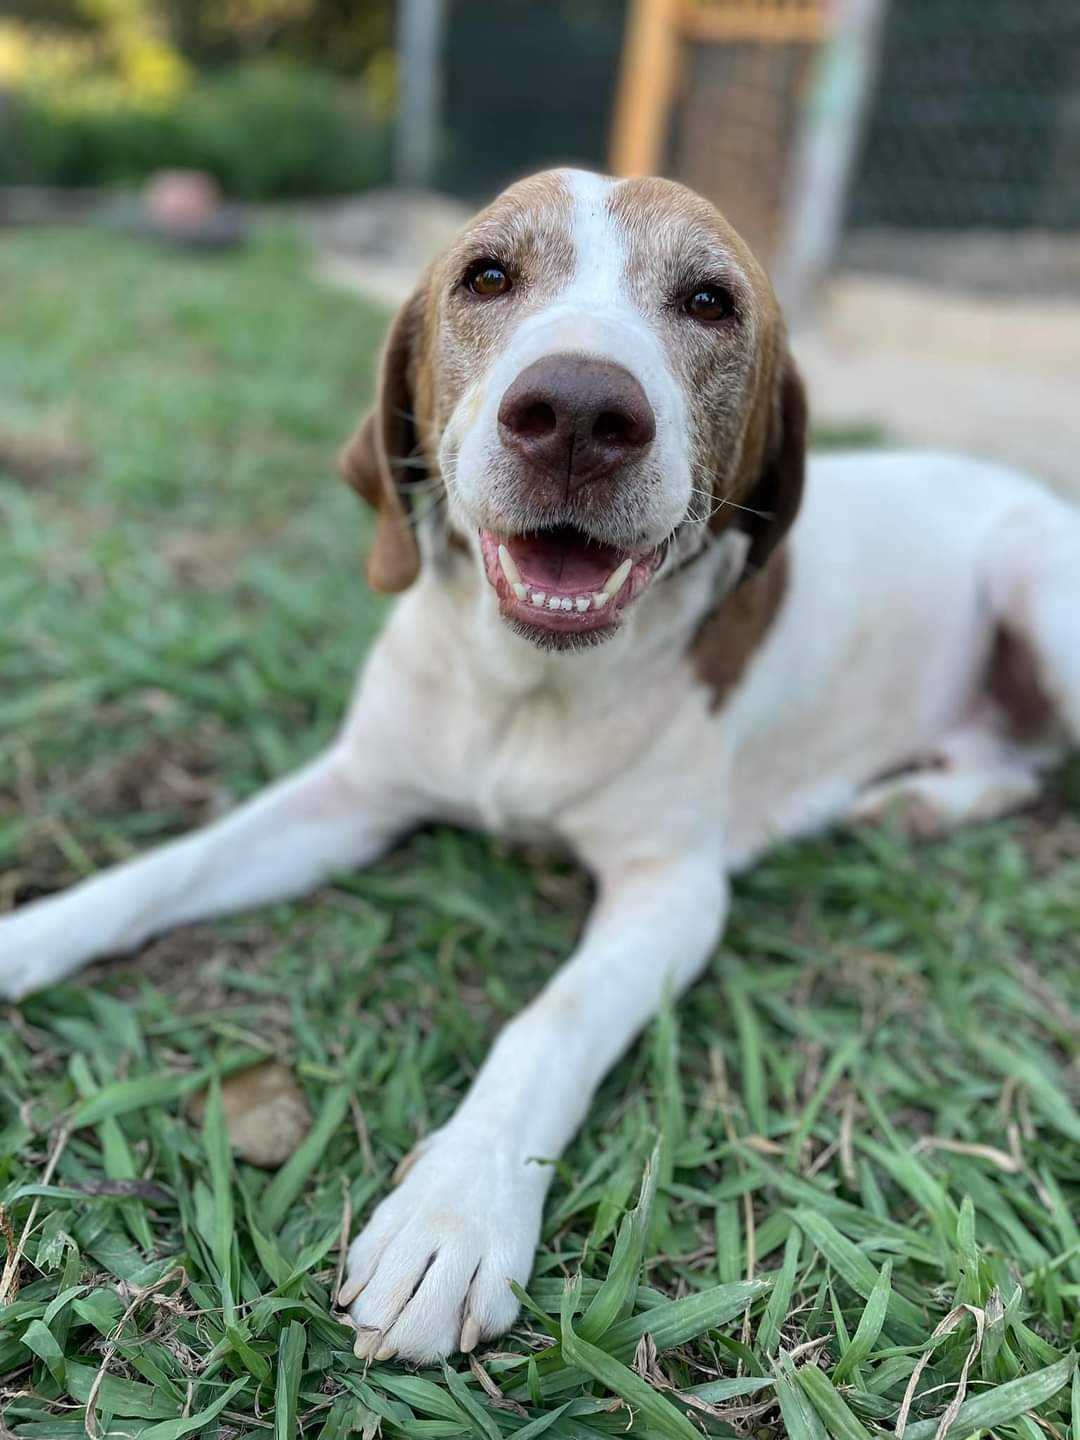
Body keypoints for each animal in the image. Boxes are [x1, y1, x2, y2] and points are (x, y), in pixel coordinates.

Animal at [2, 168, 1080, 1359]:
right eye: (486, 276)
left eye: (710, 302)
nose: (576, 412)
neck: (524, 685)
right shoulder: (354, 793)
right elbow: (167, 869)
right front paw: (30, 935)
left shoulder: (671, 895)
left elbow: (547, 1023)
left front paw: (454, 1208)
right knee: (1016, 761)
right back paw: (922, 802)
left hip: (1041, 581)